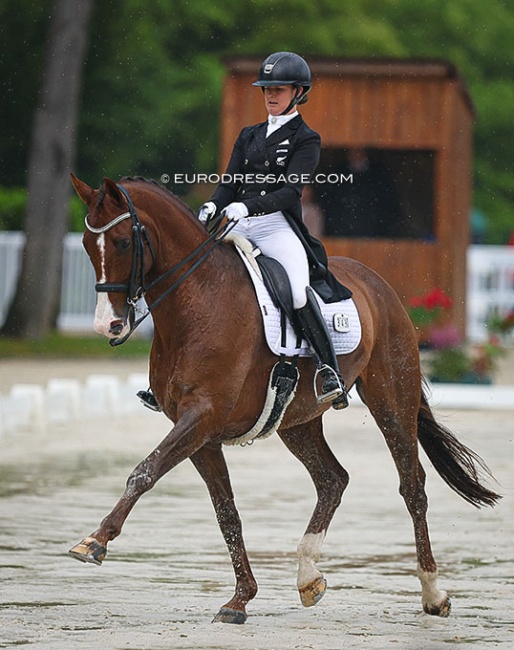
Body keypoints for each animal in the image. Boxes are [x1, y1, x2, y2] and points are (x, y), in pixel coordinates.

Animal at [69, 173, 500, 624]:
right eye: (86, 243)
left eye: (121, 242)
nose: (107, 325)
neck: (198, 302)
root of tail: (376, 282)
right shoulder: (199, 434)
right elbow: (226, 511)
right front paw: (240, 599)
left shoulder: (201, 417)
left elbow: (144, 472)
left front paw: (95, 541)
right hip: (298, 420)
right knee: (333, 479)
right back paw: (308, 576)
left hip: (392, 401)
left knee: (412, 485)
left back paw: (433, 593)